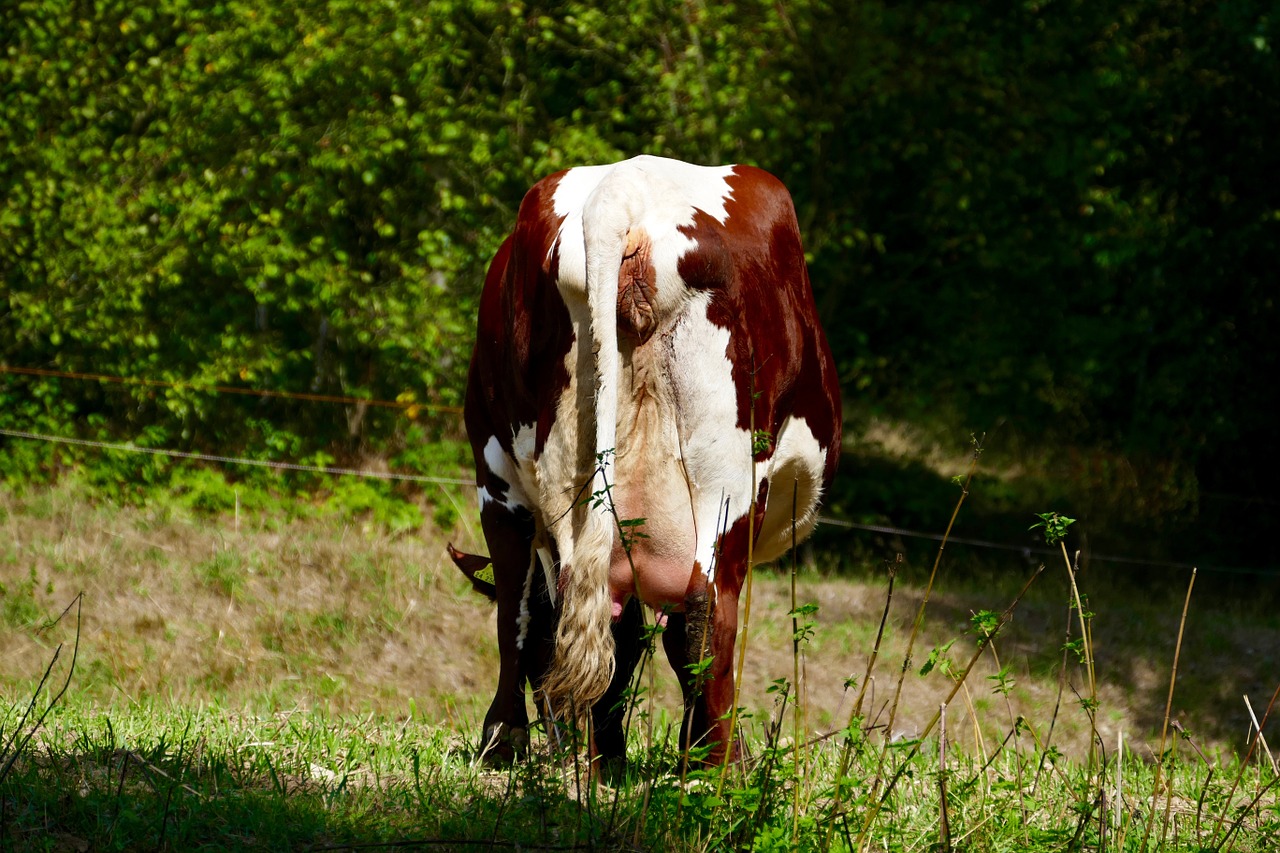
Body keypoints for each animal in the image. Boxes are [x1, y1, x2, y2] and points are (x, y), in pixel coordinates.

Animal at [448, 153, 839, 763]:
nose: (553, 732)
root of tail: (622, 192)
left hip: (514, 471)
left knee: (538, 598)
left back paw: (533, 747)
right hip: (722, 481)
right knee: (703, 612)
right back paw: (717, 763)